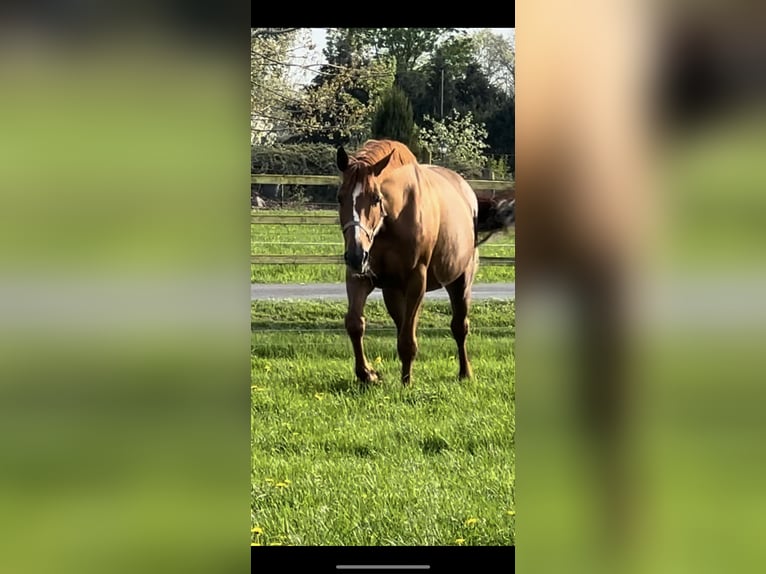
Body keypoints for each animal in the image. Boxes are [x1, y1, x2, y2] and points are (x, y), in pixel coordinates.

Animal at [338, 140, 488, 388]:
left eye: (376, 198)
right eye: (340, 198)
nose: (356, 255)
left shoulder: (416, 279)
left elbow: (408, 339)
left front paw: (406, 382)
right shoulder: (360, 277)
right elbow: (355, 324)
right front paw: (367, 374)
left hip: (460, 281)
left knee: (459, 327)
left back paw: (465, 373)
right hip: (393, 290)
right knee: (403, 324)